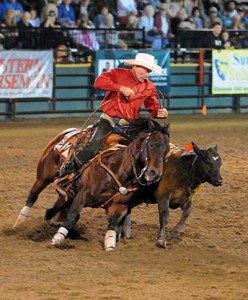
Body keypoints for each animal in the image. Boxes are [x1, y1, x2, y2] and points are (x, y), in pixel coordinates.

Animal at [49, 119, 170, 251]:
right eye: (152, 145)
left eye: (167, 150)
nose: (155, 174)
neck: (118, 170)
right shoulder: (82, 195)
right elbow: (71, 217)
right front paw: (57, 239)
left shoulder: (120, 206)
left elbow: (112, 226)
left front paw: (110, 245)